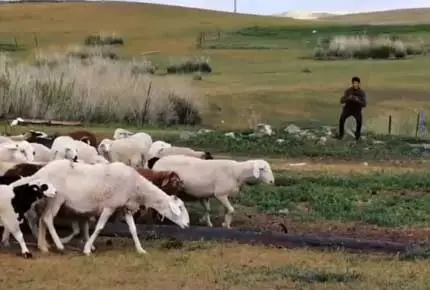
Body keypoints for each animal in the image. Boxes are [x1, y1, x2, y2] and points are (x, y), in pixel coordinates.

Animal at [10, 159, 190, 256]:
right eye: (180, 208)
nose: (187, 225)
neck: (136, 187)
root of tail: (40, 173)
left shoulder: (124, 208)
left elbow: (133, 230)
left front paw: (140, 249)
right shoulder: (110, 206)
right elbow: (99, 228)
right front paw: (87, 249)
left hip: (48, 199)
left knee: (42, 219)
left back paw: (44, 246)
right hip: (57, 198)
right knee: (47, 218)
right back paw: (59, 246)